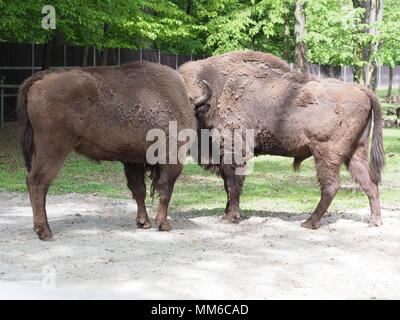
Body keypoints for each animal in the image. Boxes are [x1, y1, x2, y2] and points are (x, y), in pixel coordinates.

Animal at [17, 61, 203, 239]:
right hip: (53, 148)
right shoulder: (173, 158)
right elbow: (165, 189)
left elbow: (139, 190)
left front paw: (143, 222)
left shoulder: (133, 160)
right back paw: (44, 231)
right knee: (38, 181)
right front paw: (163, 224)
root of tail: (40, 79)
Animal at [180, 50, 384, 228]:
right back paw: (374, 221)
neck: (213, 97)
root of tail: (362, 90)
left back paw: (309, 223)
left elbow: (232, 184)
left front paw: (230, 216)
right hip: (356, 152)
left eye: (188, 111)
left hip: (326, 154)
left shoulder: (234, 152)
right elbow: (227, 185)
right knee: (369, 183)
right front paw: (226, 214)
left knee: (331, 186)